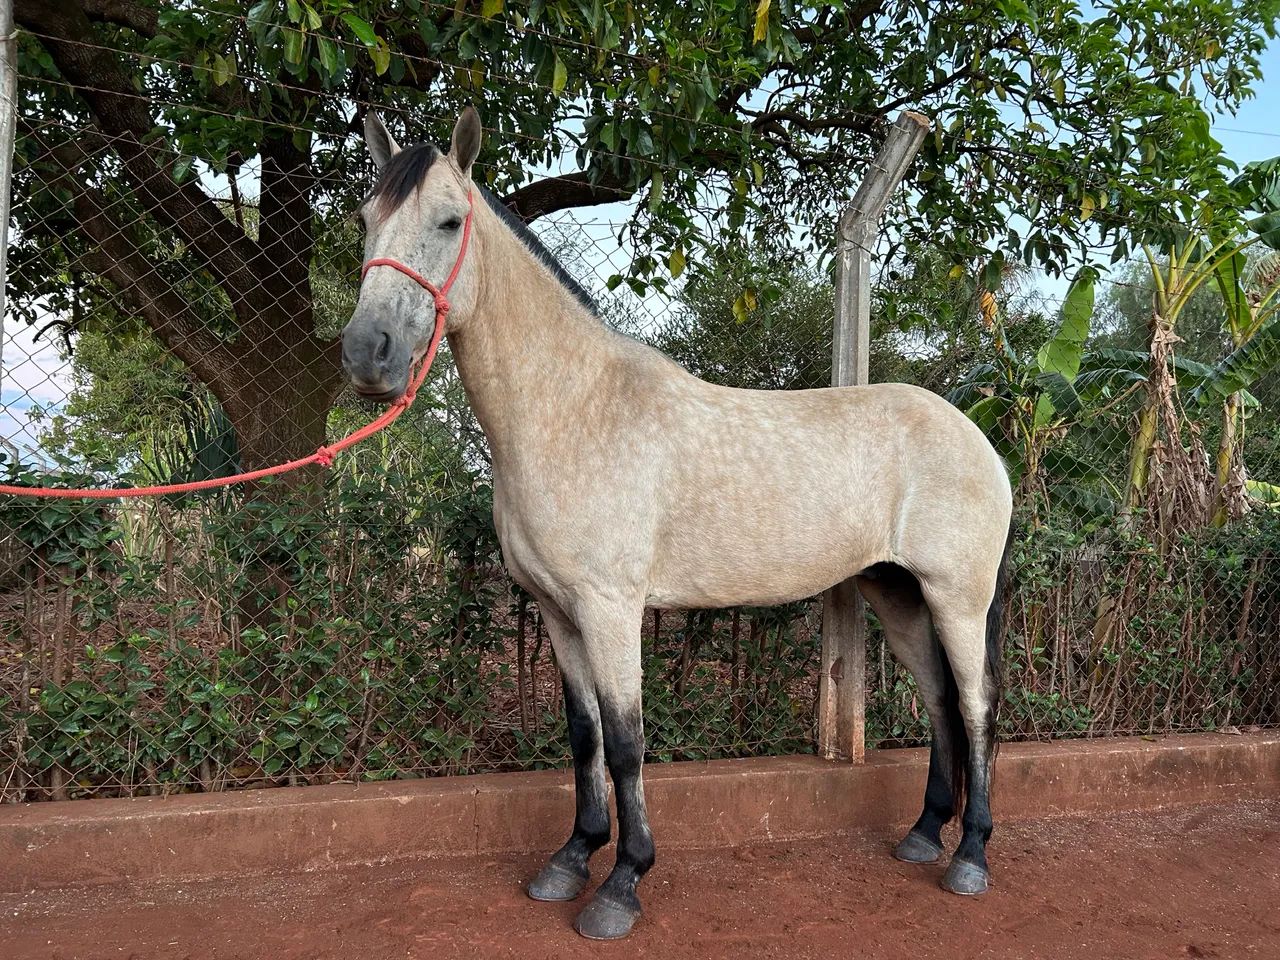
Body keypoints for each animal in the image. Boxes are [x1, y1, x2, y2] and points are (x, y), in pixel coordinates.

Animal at [341, 106, 1014, 940]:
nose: (367, 354)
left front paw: (622, 885)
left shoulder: (610, 607)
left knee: (977, 706)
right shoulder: (558, 611)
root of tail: (977, 436)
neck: (572, 409)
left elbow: (627, 742)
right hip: (896, 595)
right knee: (942, 704)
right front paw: (571, 859)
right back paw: (924, 835)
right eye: (365, 220)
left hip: (958, 597)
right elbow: (585, 735)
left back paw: (971, 858)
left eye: (449, 220)